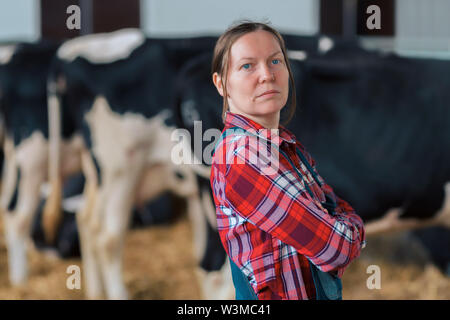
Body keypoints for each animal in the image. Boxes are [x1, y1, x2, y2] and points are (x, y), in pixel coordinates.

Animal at [43, 28, 234, 298]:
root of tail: (71, 51)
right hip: (121, 167)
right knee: (108, 237)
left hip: (98, 170)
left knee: (86, 220)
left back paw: (95, 292)